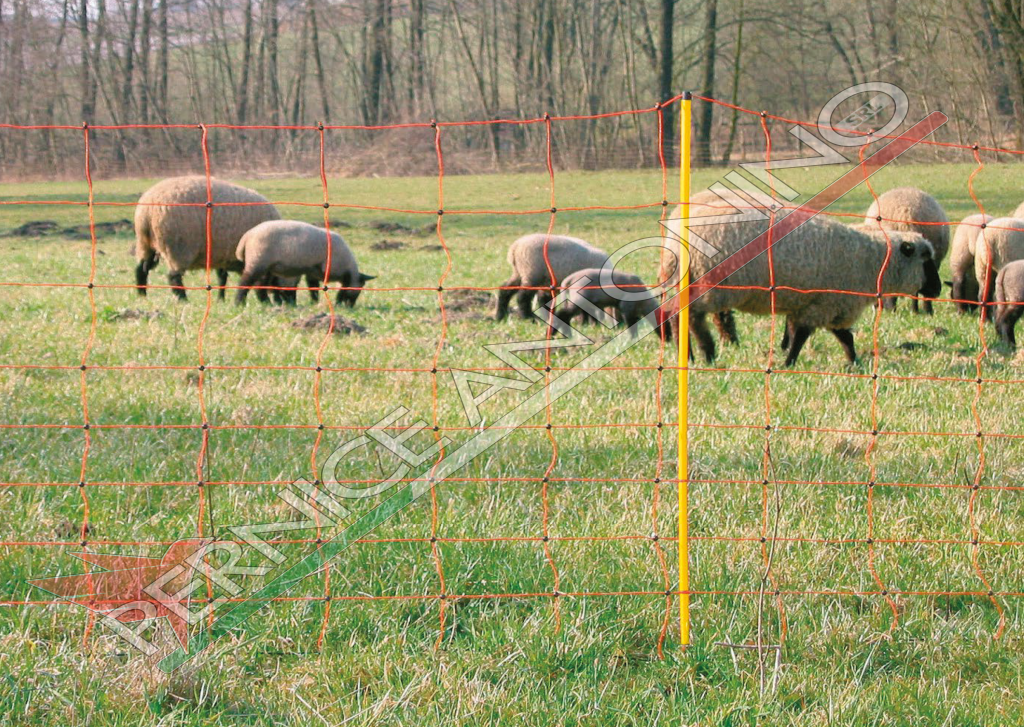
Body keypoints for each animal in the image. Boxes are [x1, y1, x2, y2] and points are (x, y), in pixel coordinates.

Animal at [135, 176, 284, 298]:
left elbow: (222, 278)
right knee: (173, 277)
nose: (281, 302)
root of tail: (147, 212)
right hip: (178, 248)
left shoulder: (223, 254)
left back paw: (142, 295)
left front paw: (221, 299)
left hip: (146, 243)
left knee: (141, 269)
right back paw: (183, 300)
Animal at [234, 218, 374, 305]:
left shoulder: (312, 271)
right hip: (258, 260)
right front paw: (339, 303)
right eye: (360, 288)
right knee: (246, 281)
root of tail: (247, 236)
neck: (348, 266)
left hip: (268, 266)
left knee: (261, 284)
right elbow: (342, 289)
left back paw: (266, 303)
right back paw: (239, 303)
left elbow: (313, 287)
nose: (351, 306)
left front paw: (314, 302)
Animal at [684, 214, 937, 366]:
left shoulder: (828, 305)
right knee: (693, 319)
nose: (936, 291)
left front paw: (853, 362)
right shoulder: (827, 303)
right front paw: (789, 363)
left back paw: (690, 356)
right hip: (709, 286)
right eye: (925, 259)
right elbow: (804, 336)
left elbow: (843, 337)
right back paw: (706, 353)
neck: (871, 260)